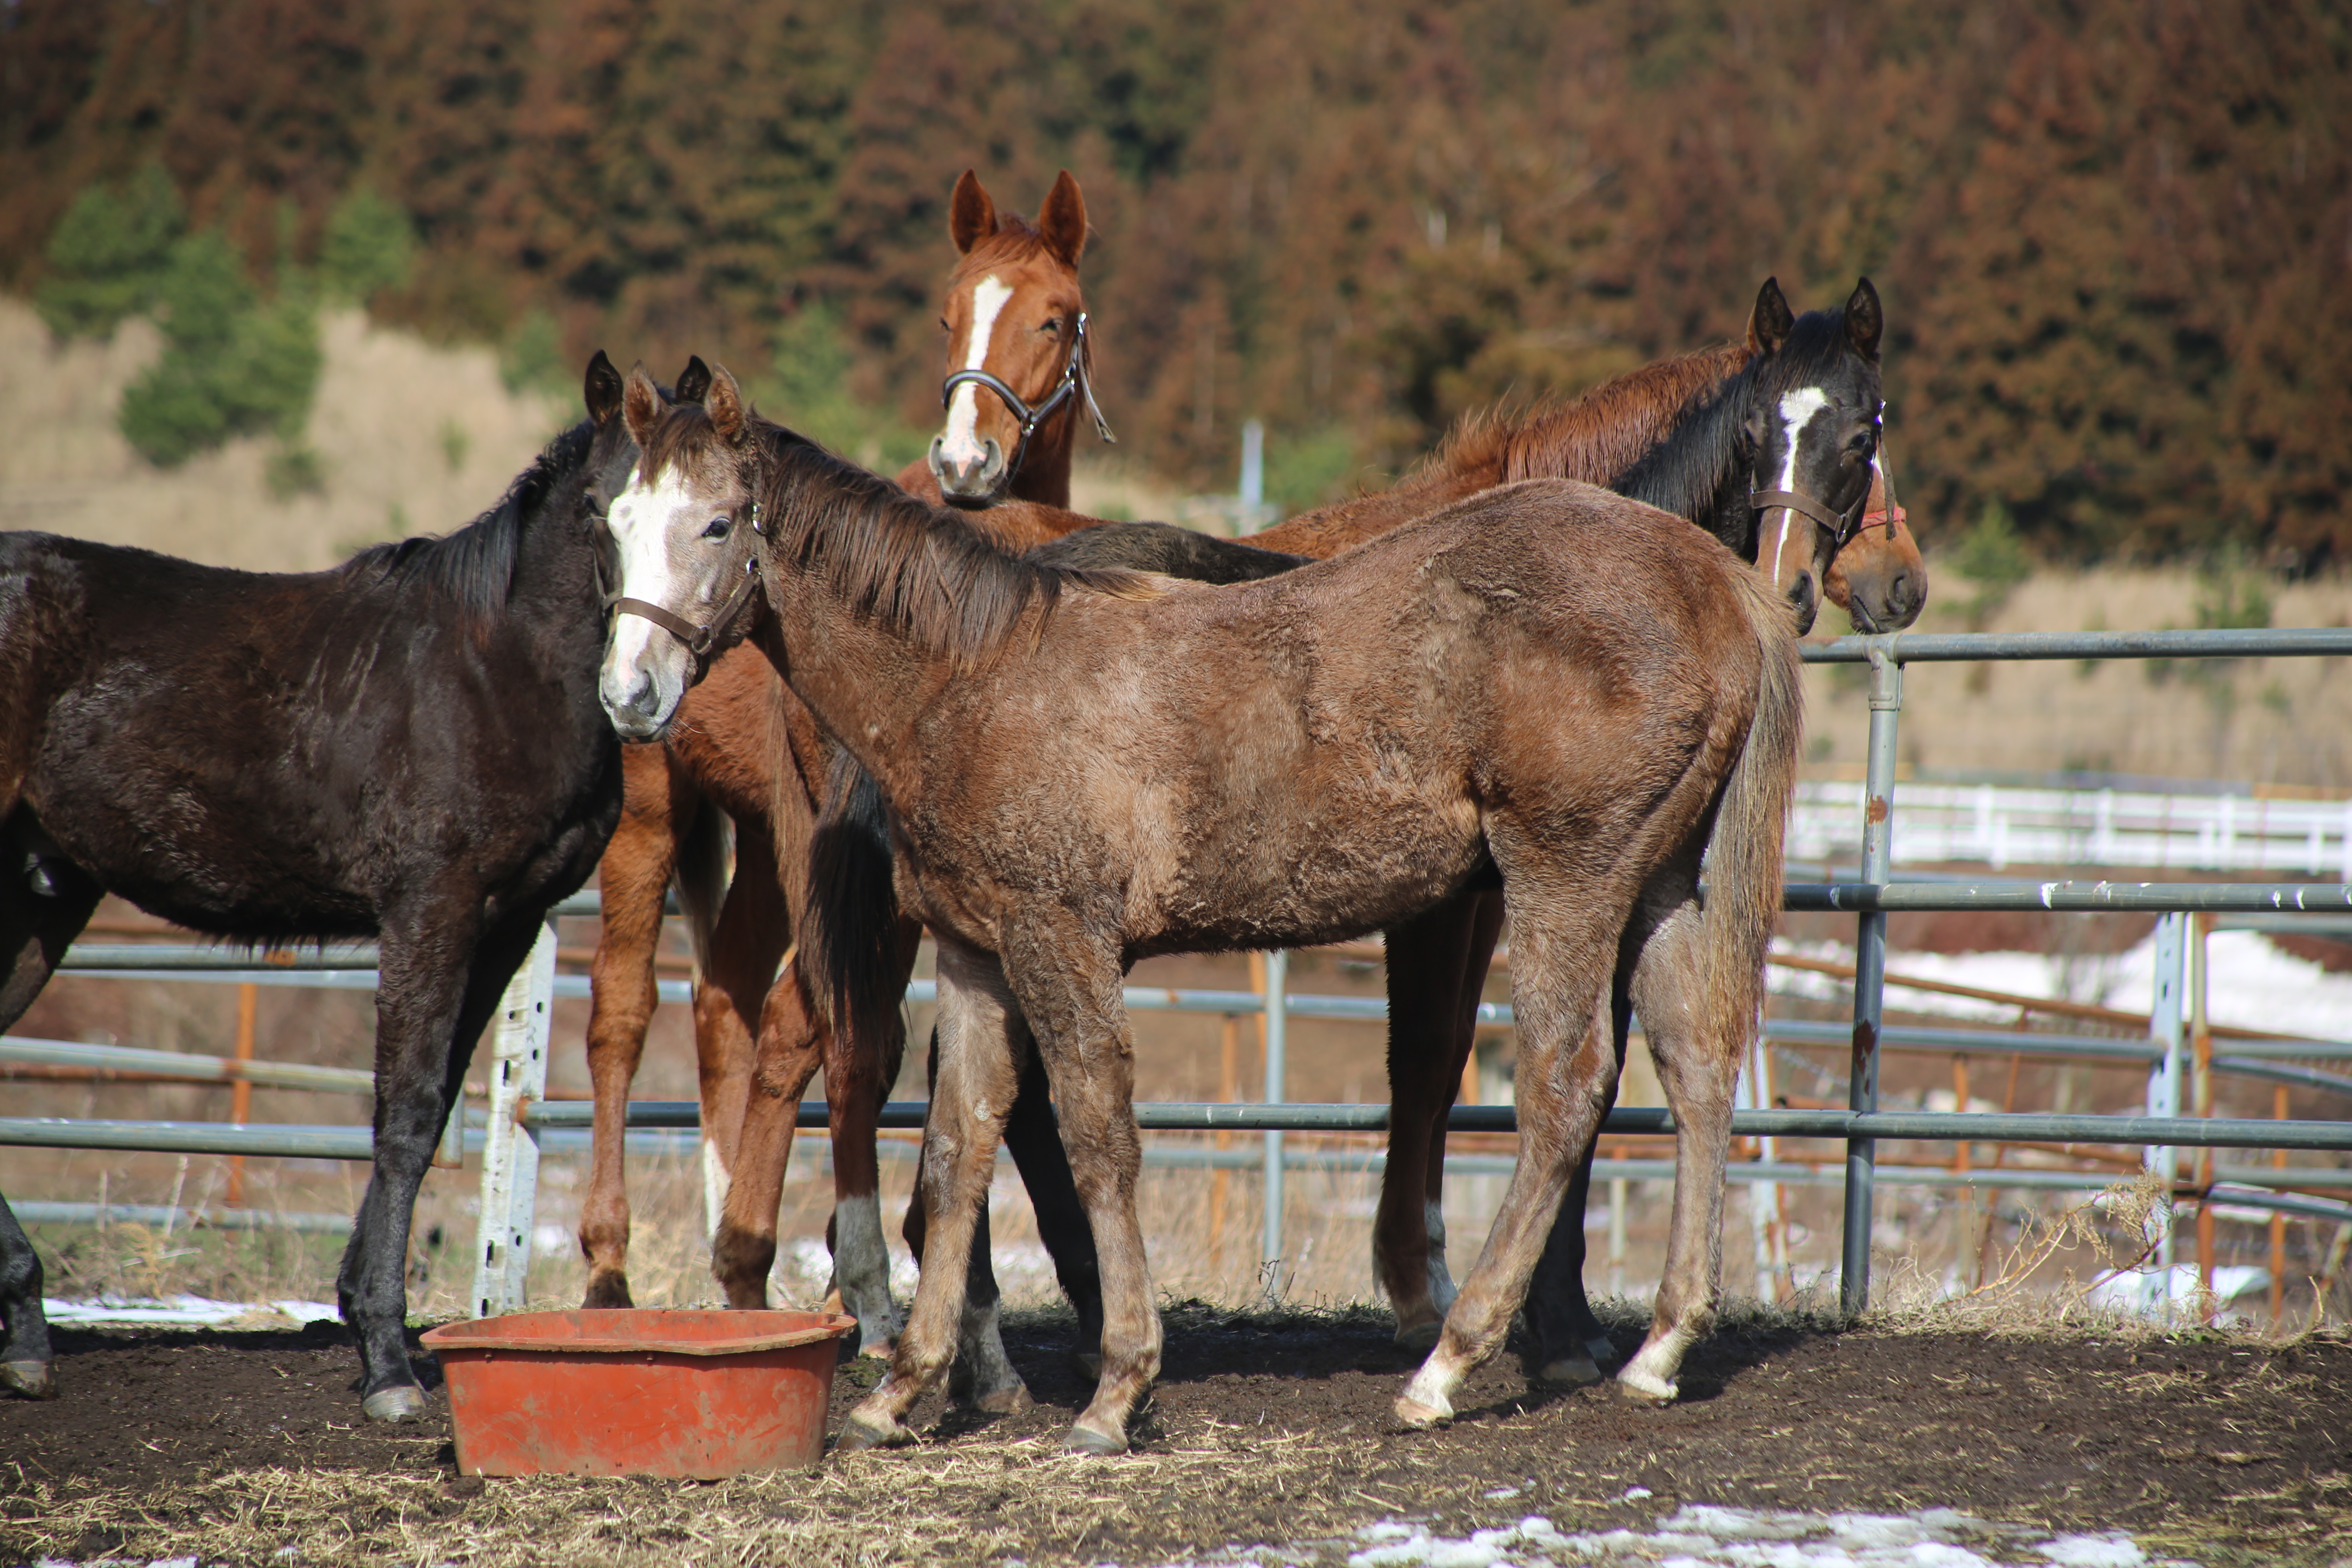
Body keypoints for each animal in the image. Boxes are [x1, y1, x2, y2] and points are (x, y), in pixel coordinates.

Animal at [0, 355, 654, 1420]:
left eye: (724, 513)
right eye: (602, 504)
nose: (640, 683)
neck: (494, 667)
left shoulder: (504, 923)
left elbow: (430, 1108)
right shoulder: (428, 909)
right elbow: (407, 1109)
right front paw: (387, 1361)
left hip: (41, 900)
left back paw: (25, 1335)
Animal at [592, 371, 1797, 1457]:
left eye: (716, 522)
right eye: (615, 525)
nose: (628, 697)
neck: (973, 678)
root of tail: (1709, 574)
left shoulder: (1062, 940)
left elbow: (1097, 1138)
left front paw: (1116, 1392)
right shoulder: (981, 955)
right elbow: (956, 1149)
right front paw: (903, 1391)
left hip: (1565, 878)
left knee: (1564, 1084)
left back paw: (1446, 1366)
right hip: (1658, 883)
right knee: (1694, 1067)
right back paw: (1658, 1349)